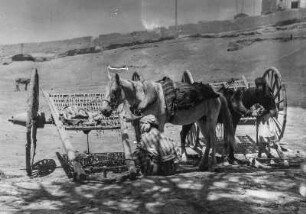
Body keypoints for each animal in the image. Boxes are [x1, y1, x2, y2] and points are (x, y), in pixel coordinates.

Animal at [100, 72, 234, 171]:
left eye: (114, 90)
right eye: (105, 89)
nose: (104, 110)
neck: (146, 96)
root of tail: (217, 93)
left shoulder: (160, 121)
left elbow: (159, 139)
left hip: (211, 120)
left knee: (214, 139)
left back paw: (213, 165)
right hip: (201, 121)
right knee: (209, 140)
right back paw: (202, 164)